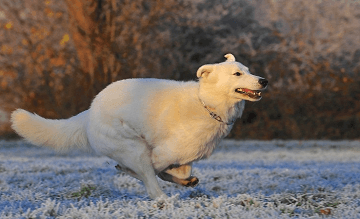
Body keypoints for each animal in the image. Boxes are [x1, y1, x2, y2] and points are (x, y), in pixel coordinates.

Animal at [11, 54, 268, 199]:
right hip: (135, 148)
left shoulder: (184, 156)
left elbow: (177, 171)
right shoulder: (160, 153)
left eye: (249, 71)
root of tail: (89, 112)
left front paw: (186, 180)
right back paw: (164, 200)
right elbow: (154, 171)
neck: (206, 104)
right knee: (151, 184)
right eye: (237, 73)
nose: (264, 81)